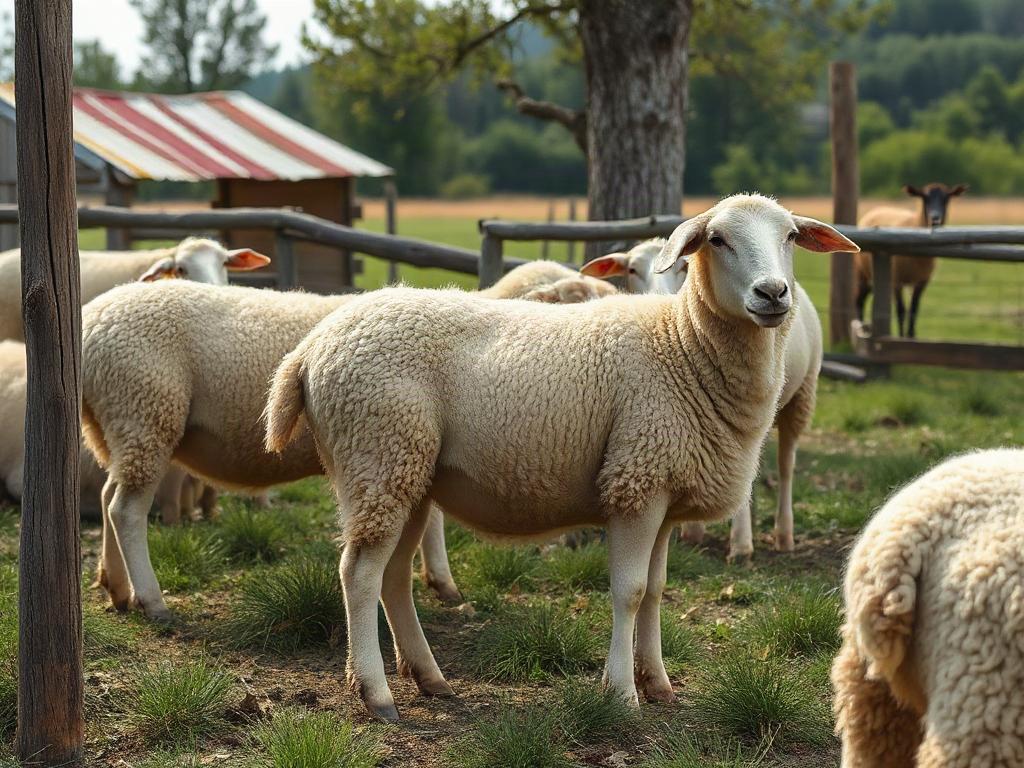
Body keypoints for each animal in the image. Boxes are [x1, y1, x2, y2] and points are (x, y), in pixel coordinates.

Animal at [80, 261, 611, 619]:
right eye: (577, 299)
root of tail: (89, 324)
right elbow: (434, 520)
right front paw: (442, 581)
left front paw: (435, 580)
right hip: (145, 411)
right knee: (125, 509)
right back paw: (152, 600)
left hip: (121, 425)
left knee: (107, 496)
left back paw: (116, 588)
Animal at [584, 239, 823, 560]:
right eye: (632, 269)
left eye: (685, 266)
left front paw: (741, 546)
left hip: (802, 393)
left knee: (786, 465)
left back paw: (782, 535)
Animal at [855, 183, 967, 339]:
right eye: (925, 197)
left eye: (946, 198)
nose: (935, 219)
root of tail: (878, 208)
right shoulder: (896, 279)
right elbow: (901, 310)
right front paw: (902, 336)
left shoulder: (922, 281)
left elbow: (914, 309)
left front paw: (911, 335)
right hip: (862, 272)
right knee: (859, 298)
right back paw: (862, 327)